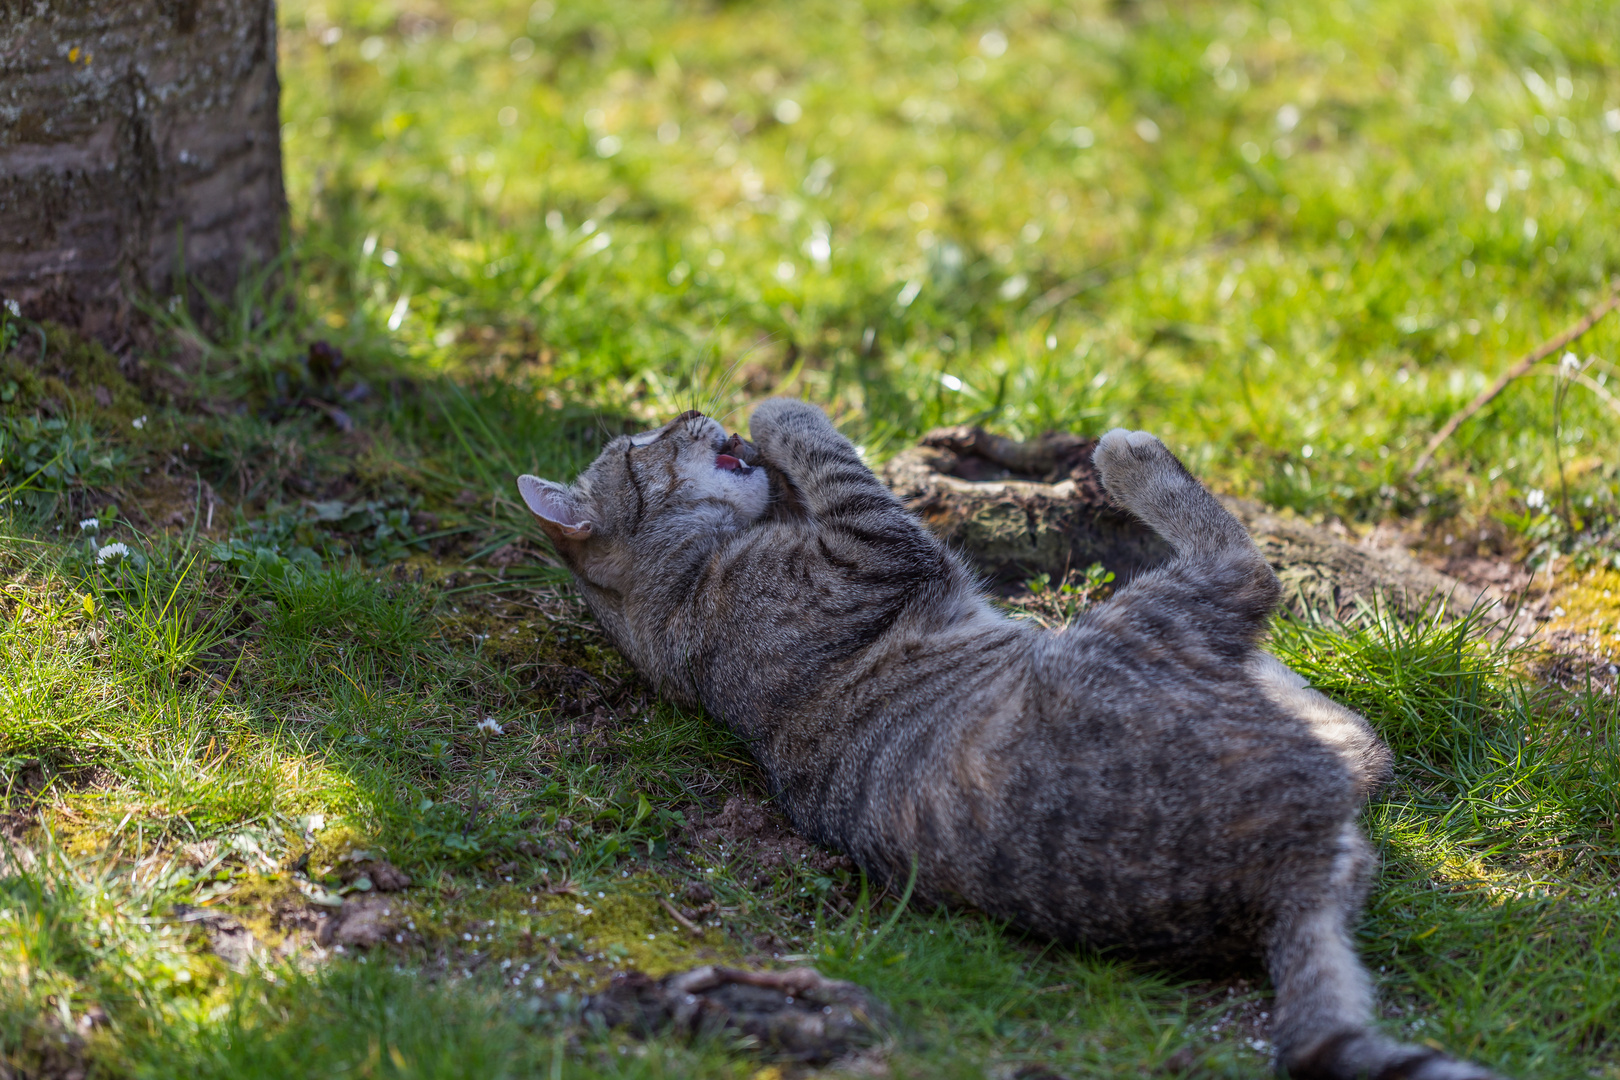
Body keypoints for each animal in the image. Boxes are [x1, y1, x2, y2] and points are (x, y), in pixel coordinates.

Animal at [518, 401, 1503, 1075]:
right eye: (643, 447)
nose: (692, 411)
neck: (678, 593)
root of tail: (1280, 882)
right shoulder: (874, 541)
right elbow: (821, 447)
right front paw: (777, 409)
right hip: (1128, 629)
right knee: (1252, 579)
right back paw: (1132, 460)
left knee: (1358, 739)